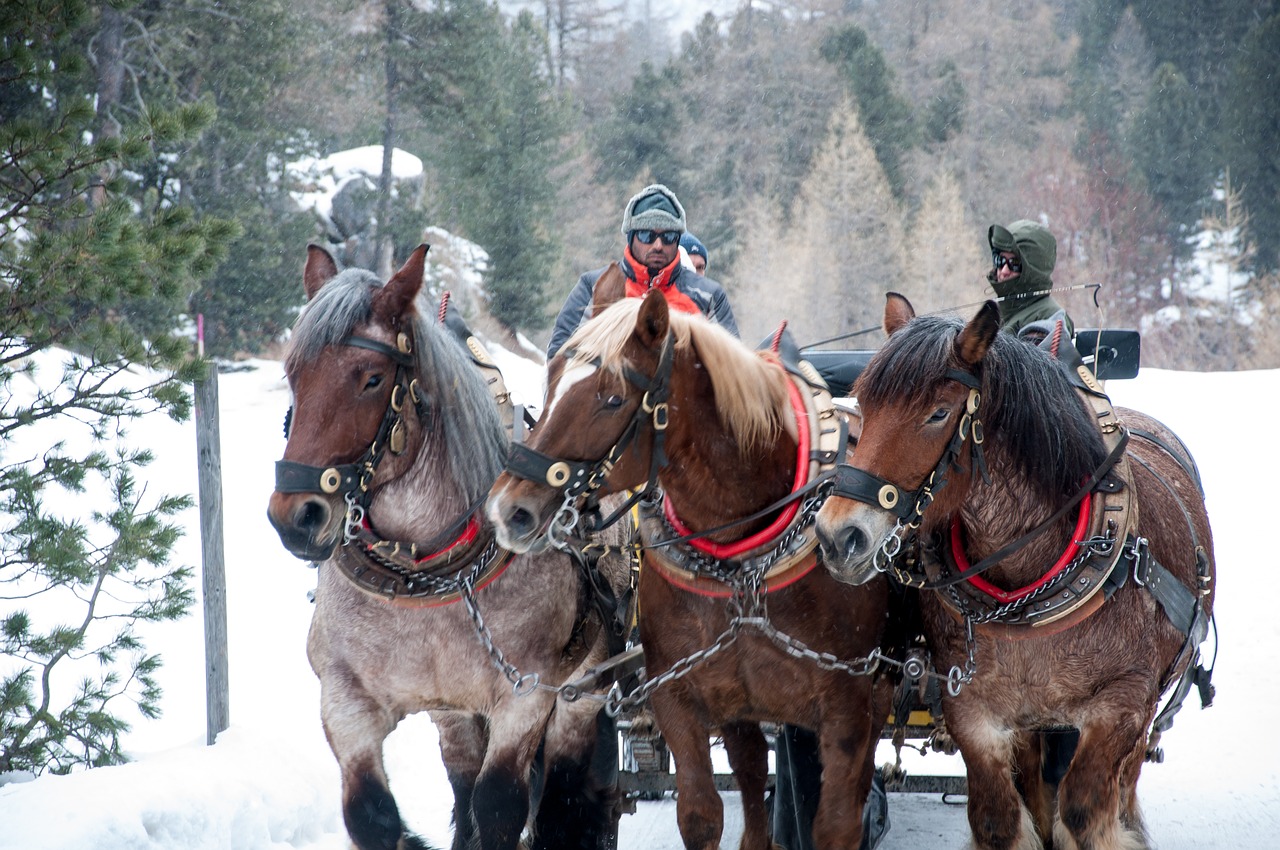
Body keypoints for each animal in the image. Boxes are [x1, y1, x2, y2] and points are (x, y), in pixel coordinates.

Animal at [483, 277, 896, 850]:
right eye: (550, 385)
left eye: (612, 399)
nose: (509, 510)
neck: (741, 558)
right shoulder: (679, 696)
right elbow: (701, 815)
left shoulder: (845, 707)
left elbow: (834, 824)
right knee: (750, 769)